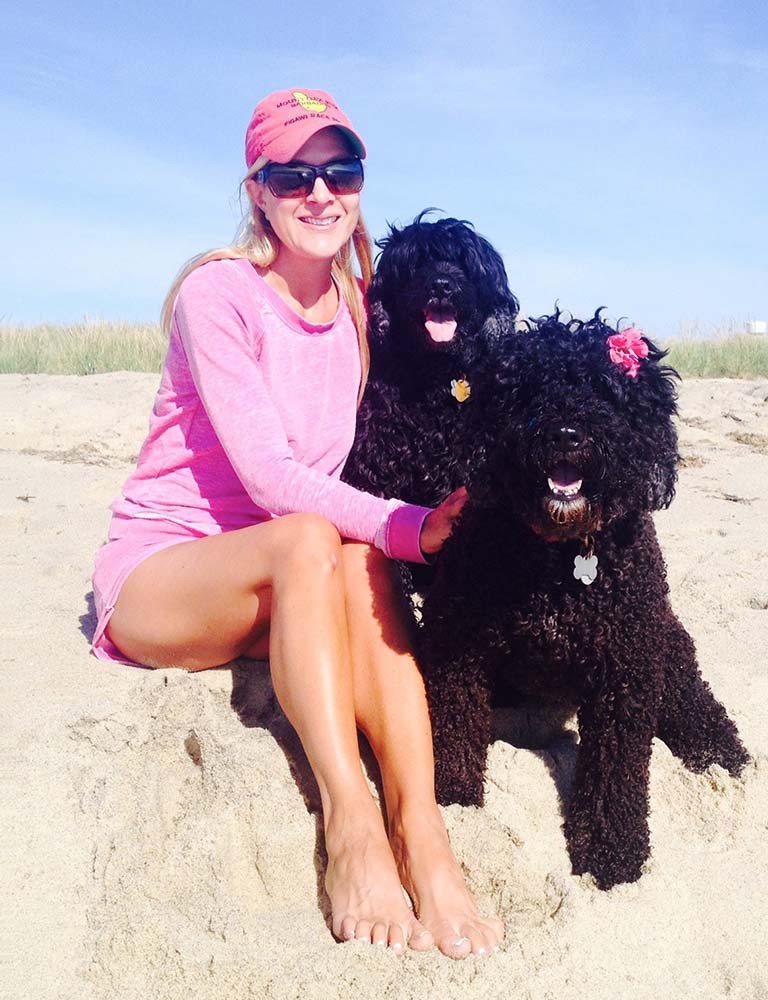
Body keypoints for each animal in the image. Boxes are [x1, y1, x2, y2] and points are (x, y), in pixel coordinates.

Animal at [414, 314, 752, 892]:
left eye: (606, 392)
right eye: (528, 390)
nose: (566, 434)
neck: (559, 560)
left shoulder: (627, 667)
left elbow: (616, 769)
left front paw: (612, 848)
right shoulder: (454, 641)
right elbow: (454, 720)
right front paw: (452, 796)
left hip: (666, 636)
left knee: (689, 692)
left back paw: (718, 749)